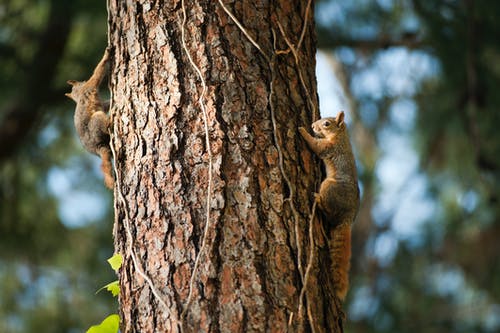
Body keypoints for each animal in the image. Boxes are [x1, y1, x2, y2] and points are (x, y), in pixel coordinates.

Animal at [65, 49, 114, 189]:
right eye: (81, 81)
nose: (82, 80)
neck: (79, 93)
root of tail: (97, 146)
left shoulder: (100, 101)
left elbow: (106, 104)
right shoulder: (91, 85)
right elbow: (98, 73)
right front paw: (107, 54)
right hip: (96, 120)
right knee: (105, 126)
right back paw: (111, 119)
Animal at [300, 111, 360, 300]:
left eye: (326, 124)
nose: (312, 125)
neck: (340, 135)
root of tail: (348, 217)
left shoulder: (329, 148)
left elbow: (315, 146)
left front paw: (303, 131)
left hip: (328, 186)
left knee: (327, 211)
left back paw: (317, 200)